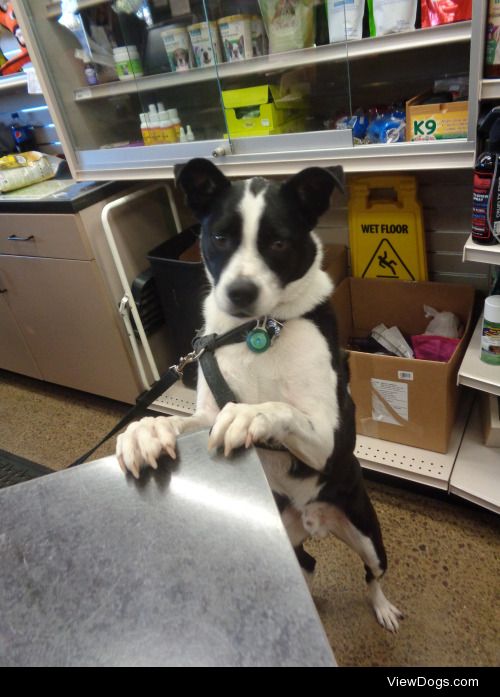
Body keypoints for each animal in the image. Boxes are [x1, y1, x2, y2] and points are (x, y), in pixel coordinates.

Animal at [117, 156, 402, 632]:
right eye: (219, 237)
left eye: (279, 242)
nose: (240, 293)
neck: (259, 331)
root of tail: (313, 523)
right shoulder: (207, 412)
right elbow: (181, 421)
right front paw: (147, 431)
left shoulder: (329, 438)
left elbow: (282, 408)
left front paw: (250, 416)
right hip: (292, 545)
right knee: (310, 568)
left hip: (367, 534)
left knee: (372, 576)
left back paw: (382, 607)